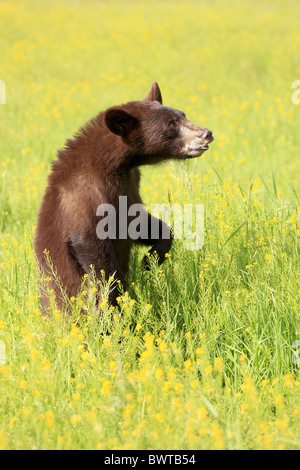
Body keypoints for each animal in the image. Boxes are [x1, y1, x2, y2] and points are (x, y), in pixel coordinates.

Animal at [34, 81, 213, 312]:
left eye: (182, 114)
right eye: (171, 124)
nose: (206, 133)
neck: (114, 165)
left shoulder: (130, 184)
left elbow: (138, 221)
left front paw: (152, 258)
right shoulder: (83, 190)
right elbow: (89, 241)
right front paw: (111, 294)